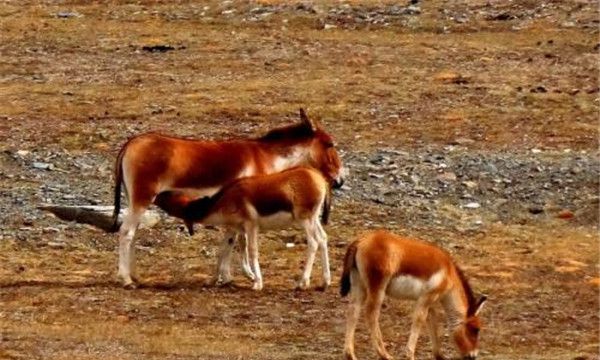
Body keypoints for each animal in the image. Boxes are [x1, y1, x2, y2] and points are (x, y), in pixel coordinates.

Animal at [340, 231, 486, 360]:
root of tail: (361, 241)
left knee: (353, 311)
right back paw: (384, 355)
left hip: (358, 285)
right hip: (377, 289)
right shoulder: (426, 298)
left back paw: (350, 355)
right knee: (371, 314)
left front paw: (439, 355)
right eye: (476, 329)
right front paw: (410, 355)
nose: (473, 356)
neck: (449, 272)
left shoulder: (431, 303)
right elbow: (419, 320)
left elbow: (433, 322)